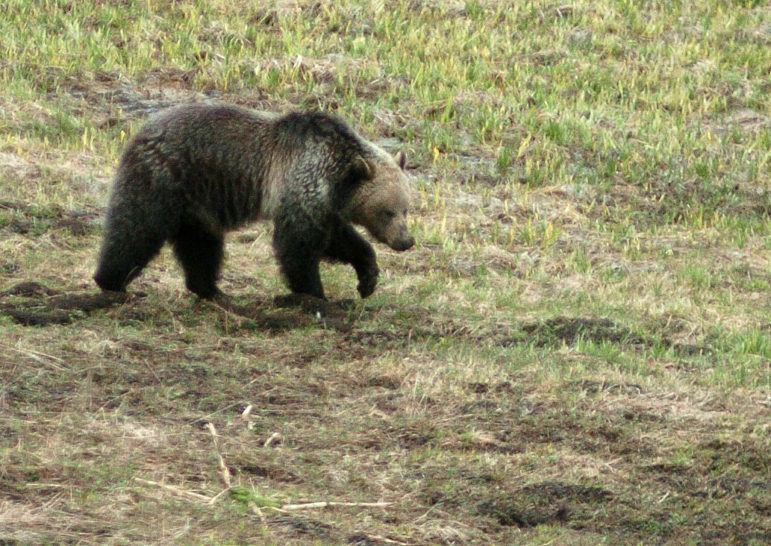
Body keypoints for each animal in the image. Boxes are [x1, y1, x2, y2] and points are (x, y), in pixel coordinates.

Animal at [93, 104, 414, 300]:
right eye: (387, 211)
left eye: (406, 209)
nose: (406, 241)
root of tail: (140, 131)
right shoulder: (300, 187)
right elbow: (298, 247)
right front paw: (315, 294)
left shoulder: (323, 206)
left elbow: (341, 240)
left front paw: (368, 278)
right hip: (163, 179)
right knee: (135, 230)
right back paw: (111, 280)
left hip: (198, 206)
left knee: (201, 247)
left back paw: (211, 289)